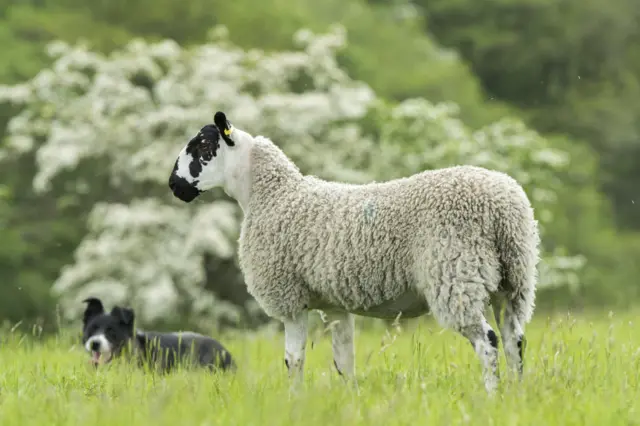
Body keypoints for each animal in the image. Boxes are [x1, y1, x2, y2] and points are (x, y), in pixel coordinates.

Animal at [166, 110, 540, 392]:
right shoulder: (334, 306)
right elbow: (344, 363)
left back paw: (490, 397)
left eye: (202, 145)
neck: (272, 195)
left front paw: (293, 402)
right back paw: (516, 396)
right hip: (512, 279)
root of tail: (501, 208)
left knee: (487, 342)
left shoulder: (288, 298)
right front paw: (349, 401)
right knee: (515, 341)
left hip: (455, 273)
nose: (174, 185)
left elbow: (293, 360)